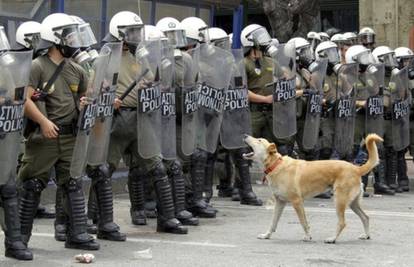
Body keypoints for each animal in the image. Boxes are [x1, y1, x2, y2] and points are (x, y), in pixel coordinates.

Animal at [244, 135, 384, 244]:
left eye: (259, 140)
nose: (245, 135)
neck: (276, 165)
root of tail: (356, 168)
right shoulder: (280, 202)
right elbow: (273, 222)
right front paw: (267, 235)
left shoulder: (297, 201)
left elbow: (303, 222)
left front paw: (307, 236)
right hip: (352, 203)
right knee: (365, 217)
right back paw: (366, 235)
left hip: (340, 201)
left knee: (343, 223)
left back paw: (332, 239)